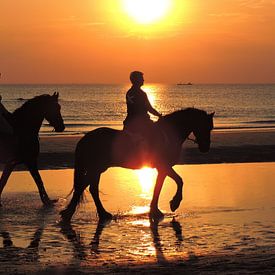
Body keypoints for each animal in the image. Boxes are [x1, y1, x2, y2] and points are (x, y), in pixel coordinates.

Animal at [61, 109, 215, 223]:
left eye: (211, 127)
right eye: (206, 126)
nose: (205, 148)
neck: (168, 134)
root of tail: (86, 138)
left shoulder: (162, 169)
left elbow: (159, 187)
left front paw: (155, 210)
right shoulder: (164, 166)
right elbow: (178, 181)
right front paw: (174, 203)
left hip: (98, 168)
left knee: (89, 187)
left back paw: (100, 214)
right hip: (97, 167)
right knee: (84, 186)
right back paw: (72, 213)